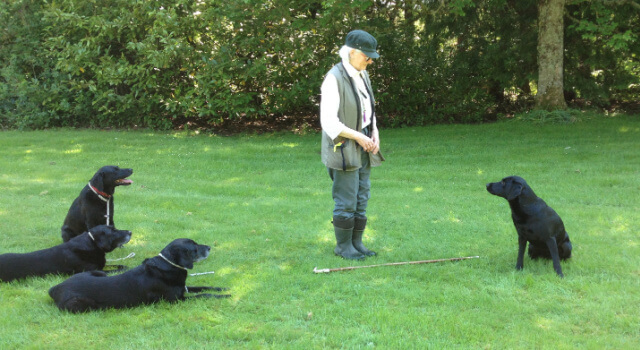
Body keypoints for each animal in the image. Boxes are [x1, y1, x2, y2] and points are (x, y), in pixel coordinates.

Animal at [0, 226, 131, 284]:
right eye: (113, 231)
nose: (130, 231)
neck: (92, 243)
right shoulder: (92, 269)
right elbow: (116, 270)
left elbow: (120, 265)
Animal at [50, 238, 230, 312]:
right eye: (194, 248)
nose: (209, 247)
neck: (168, 266)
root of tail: (55, 288)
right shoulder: (176, 300)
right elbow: (204, 294)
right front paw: (226, 296)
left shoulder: (183, 288)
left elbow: (203, 287)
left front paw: (223, 289)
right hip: (79, 303)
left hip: (98, 272)